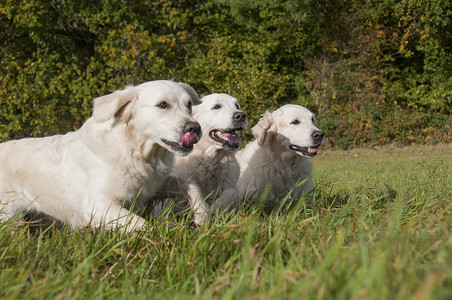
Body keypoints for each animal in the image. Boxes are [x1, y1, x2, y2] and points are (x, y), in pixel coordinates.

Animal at [0, 80, 208, 232]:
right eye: (163, 105)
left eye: (189, 105)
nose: (195, 128)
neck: (135, 151)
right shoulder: (98, 205)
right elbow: (142, 224)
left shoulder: (151, 187)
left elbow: (189, 183)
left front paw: (202, 216)